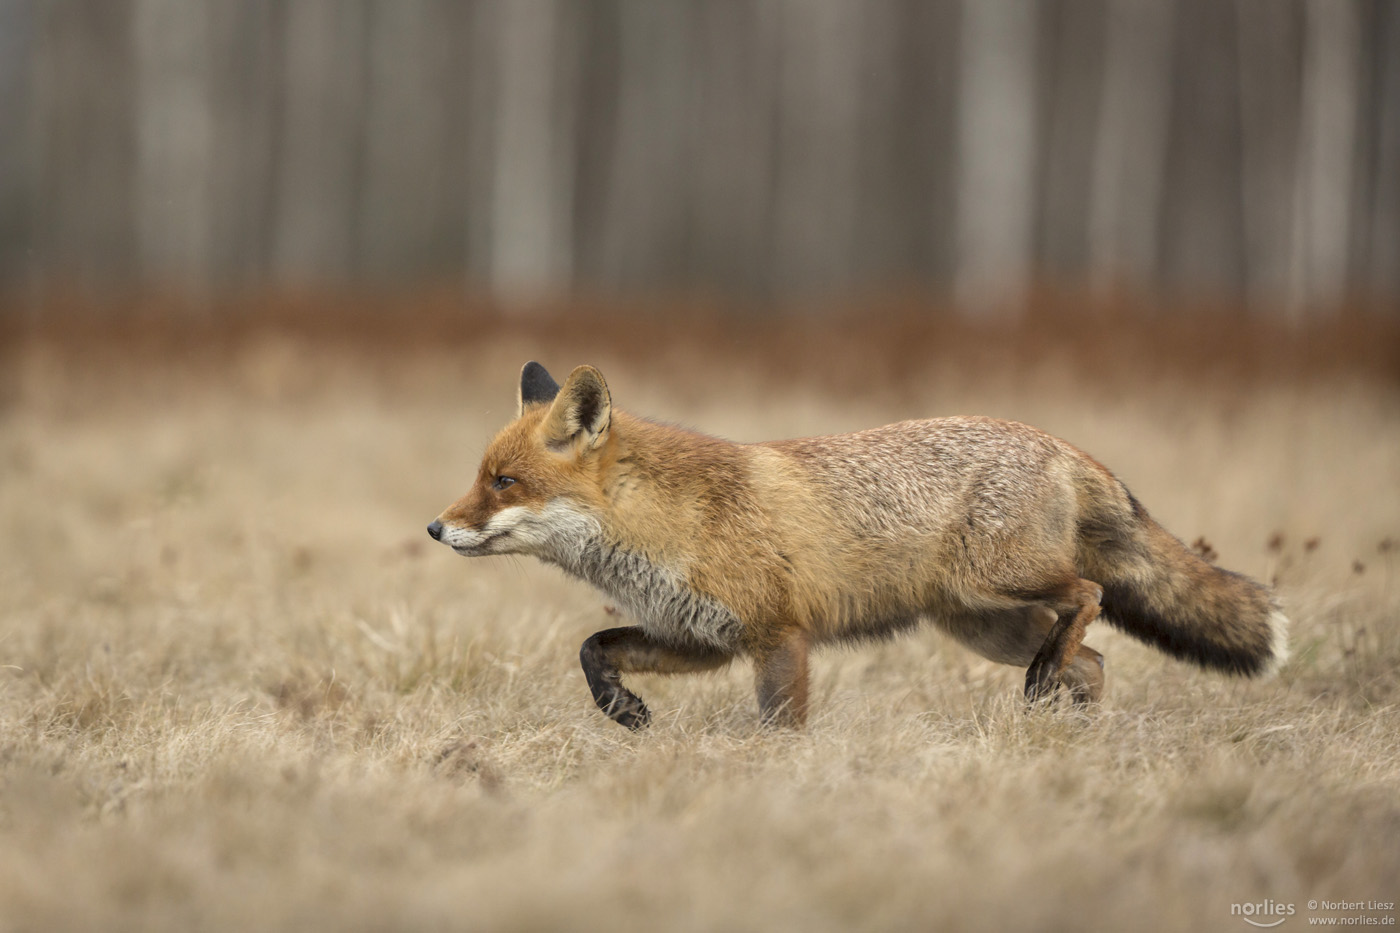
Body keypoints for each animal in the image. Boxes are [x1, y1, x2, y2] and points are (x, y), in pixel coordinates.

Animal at [428, 361, 1288, 728]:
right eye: (480, 476)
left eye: (503, 481)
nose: (436, 527)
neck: (667, 524)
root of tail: (1062, 443)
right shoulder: (699, 635)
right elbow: (592, 648)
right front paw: (625, 711)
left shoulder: (777, 635)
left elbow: (780, 723)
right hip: (985, 624)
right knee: (1097, 660)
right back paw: (1070, 734)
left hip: (1000, 582)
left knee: (1091, 596)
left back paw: (1056, 698)